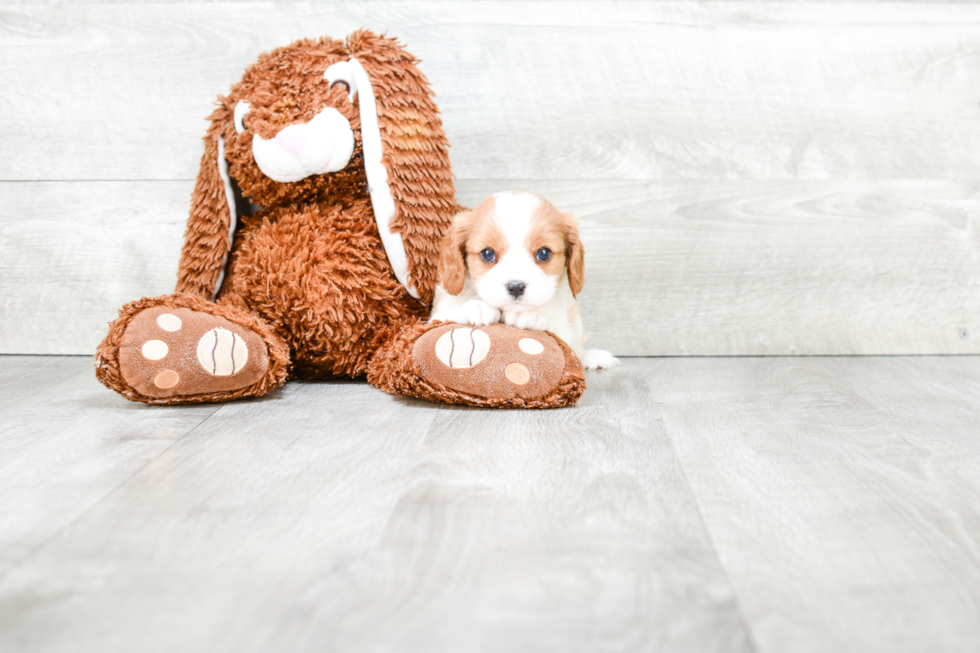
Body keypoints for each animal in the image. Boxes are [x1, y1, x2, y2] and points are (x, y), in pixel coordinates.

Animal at [430, 191, 616, 370]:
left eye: (544, 253)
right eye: (488, 253)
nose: (516, 287)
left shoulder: (563, 326)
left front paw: (530, 314)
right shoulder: (436, 315)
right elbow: (446, 313)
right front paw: (473, 307)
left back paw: (592, 356)